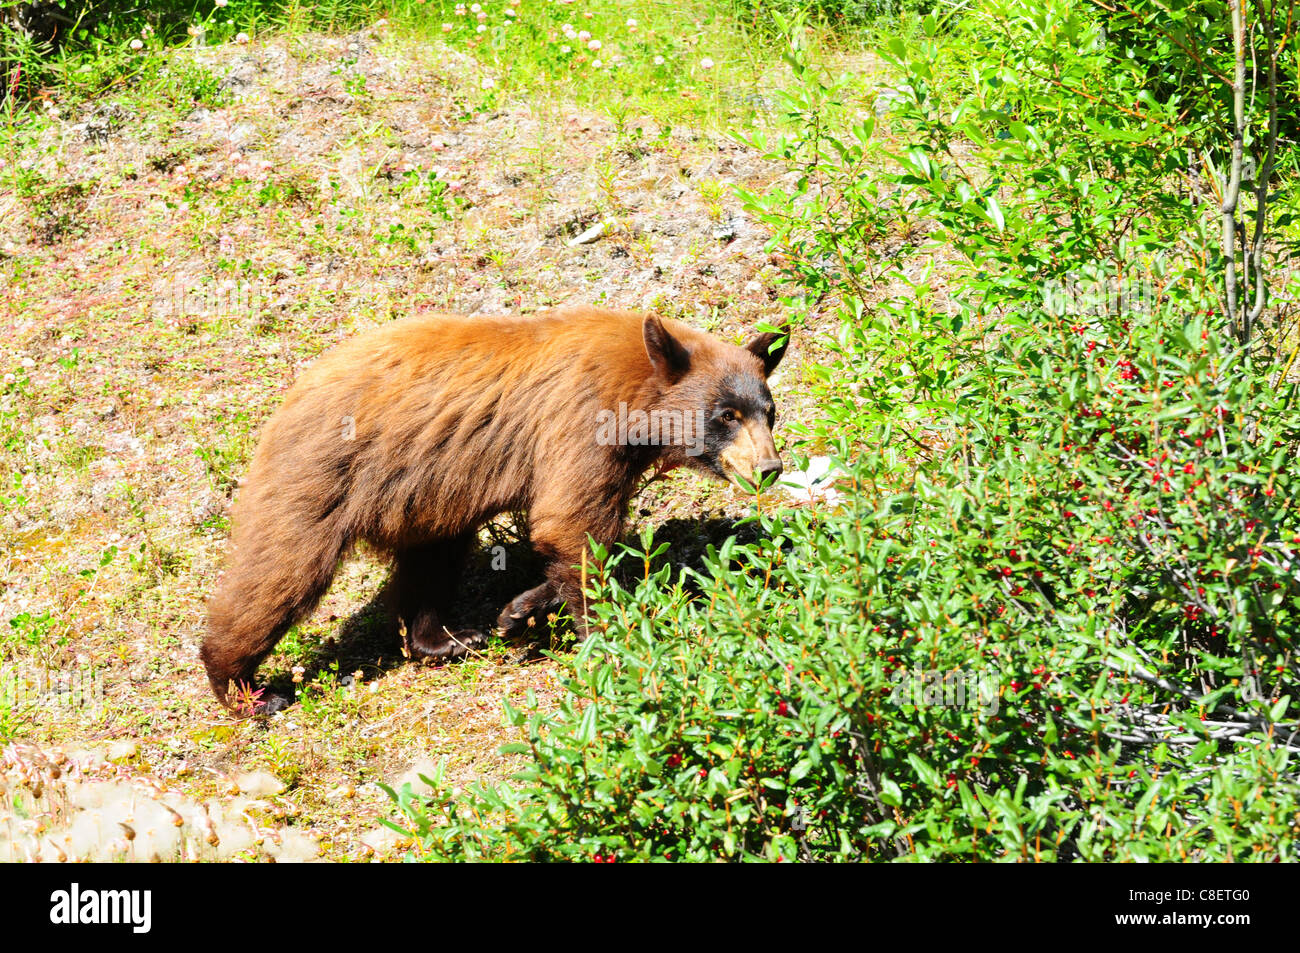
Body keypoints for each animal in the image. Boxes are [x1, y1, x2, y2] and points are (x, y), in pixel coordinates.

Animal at [201, 304, 785, 707]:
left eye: (769, 411)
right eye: (727, 414)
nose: (769, 468)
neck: (637, 385)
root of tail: (291, 394)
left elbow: (573, 535)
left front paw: (519, 610)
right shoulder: (581, 420)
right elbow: (568, 521)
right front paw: (610, 639)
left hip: (422, 495)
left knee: (433, 559)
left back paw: (446, 639)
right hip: (324, 473)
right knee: (282, 568)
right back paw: (243, 688)